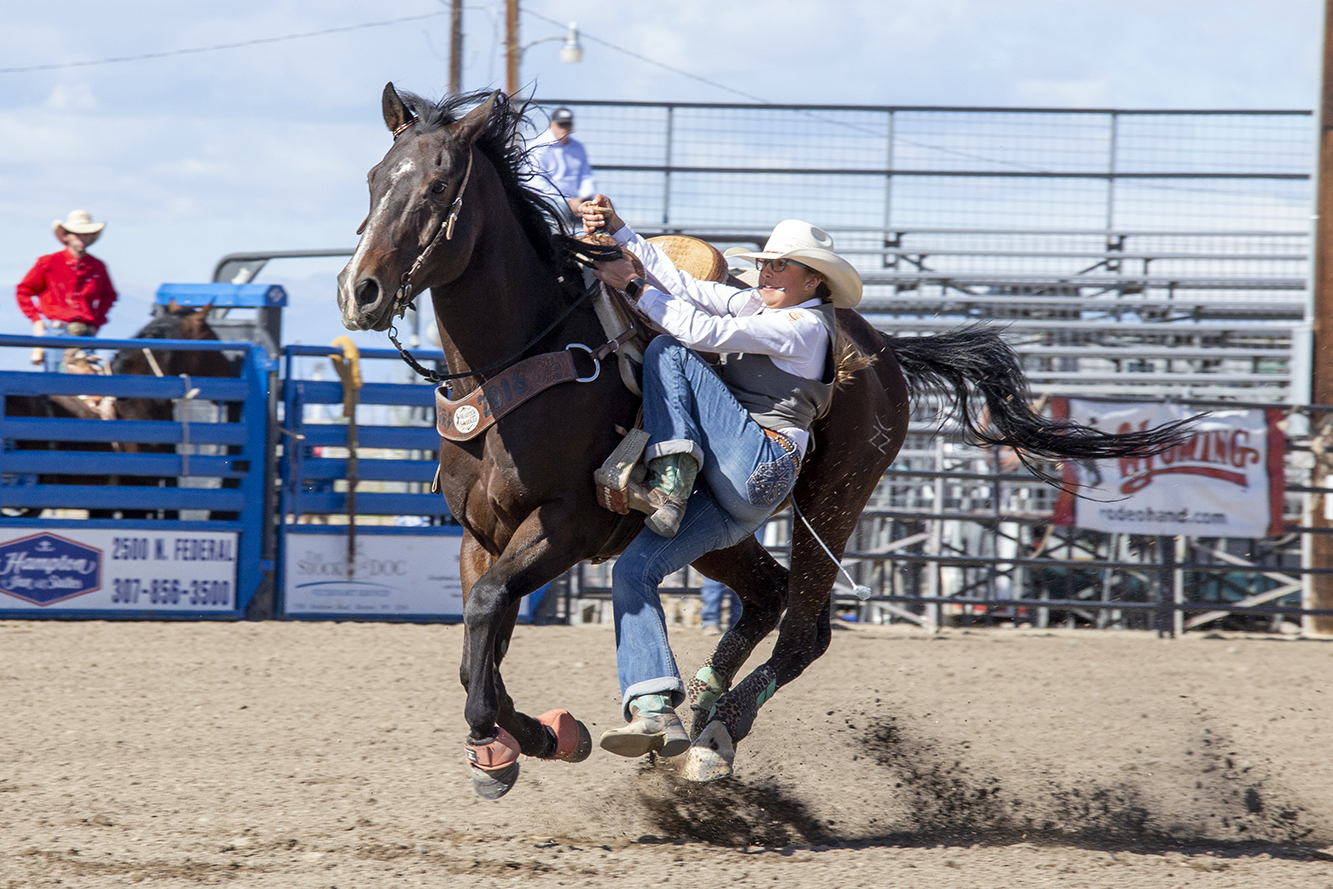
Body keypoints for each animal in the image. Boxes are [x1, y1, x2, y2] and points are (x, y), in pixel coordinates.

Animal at [333, 86, 1189, 805]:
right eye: (375, 179)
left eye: (437, 187)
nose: (359, 290)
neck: (529, 352)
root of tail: (883, 347)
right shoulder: (482, 533)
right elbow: (479, 637)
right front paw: (536, 735)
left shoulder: (565, 524)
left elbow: (485, 612)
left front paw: (502, 745)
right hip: (720, 531)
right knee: (767, 595)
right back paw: (698, 713)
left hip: (833, 500)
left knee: (804, 627)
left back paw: (712, 736)